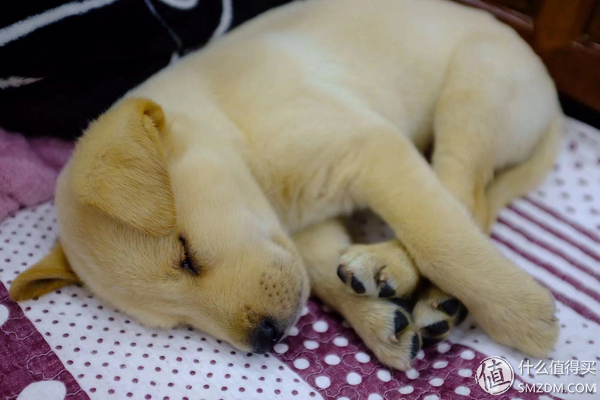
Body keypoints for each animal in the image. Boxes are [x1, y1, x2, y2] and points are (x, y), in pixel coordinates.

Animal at [10, 0, 561, 371]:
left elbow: (440, 237)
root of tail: (553, 100)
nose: (266, 339)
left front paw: (524, 317)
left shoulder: (371, 151)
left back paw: (407, 273)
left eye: (186, 255)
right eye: (178, 323)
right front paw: (377, 324)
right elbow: (321, 272)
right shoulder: (308, 228)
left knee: (463, 200)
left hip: (473, 93)